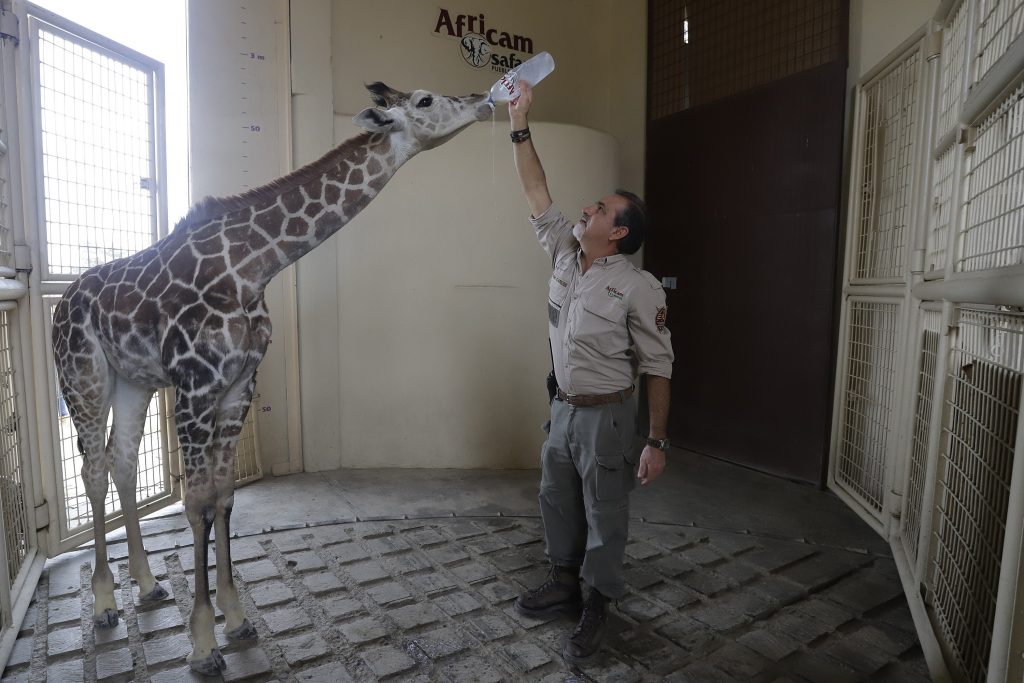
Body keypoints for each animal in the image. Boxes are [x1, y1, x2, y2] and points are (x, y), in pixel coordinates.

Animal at [51, 82, 491, 675]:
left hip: (133, 380)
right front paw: (203, 645)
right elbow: (195, 502)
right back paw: (102, 605)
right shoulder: (194, 385)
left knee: (122, 463)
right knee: (94, 470)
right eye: (424, 100)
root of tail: (61, 301)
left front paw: (236, 619)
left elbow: (223, 496)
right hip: (82, 377)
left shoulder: (239, 384)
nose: (481, 99)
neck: (253, 268)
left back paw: (145, 586)